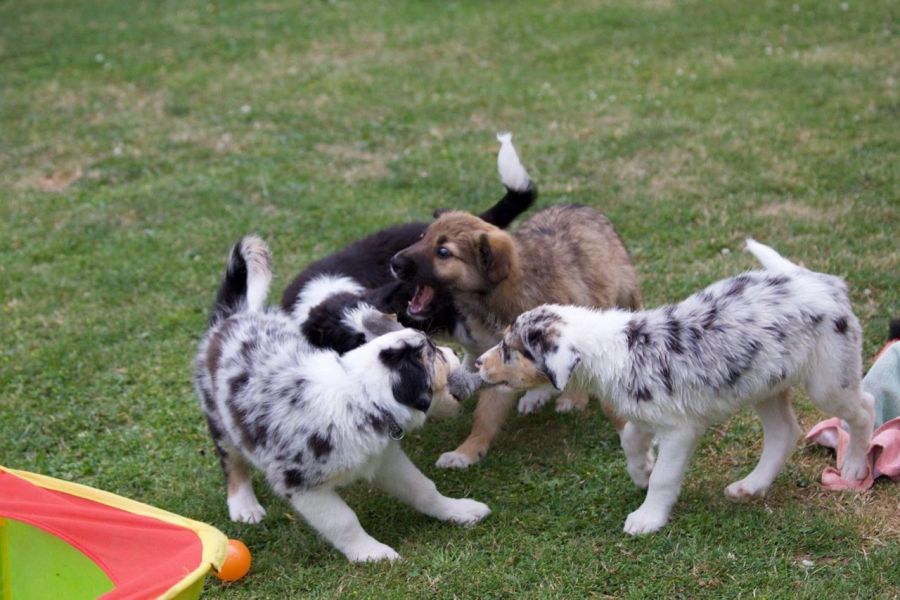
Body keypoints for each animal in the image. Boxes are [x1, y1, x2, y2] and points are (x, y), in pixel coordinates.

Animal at [198, 236, 492, 564]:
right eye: (436, 354)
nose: (453, 352)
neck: (362, 399)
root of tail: (233, 316)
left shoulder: (384, 457)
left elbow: (423, 488)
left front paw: (459, 510)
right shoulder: (302, 486)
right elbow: (343, 521)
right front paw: (373, 554)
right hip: (219, 417)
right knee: (232, 462)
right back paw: (244, 506)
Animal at [392, 203, 640, 468]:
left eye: (443, 252)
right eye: (422, 237)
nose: (393, 262)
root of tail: (579, 205)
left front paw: (575, 397)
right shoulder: (499, 358)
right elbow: (486, 414)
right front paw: (467, 451)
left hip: (625, 296)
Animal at [474, 239, 876, 536]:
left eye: (510, 350)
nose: (478, 364)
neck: (616, 350)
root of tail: (822, 282)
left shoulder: (681, 429)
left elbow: (665, 478)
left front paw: (647, 517)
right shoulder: (646, 414)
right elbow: (629, 439)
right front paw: (641, 470)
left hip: (828, 381)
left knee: (864, 407)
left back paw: (855, 466)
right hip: (763, 384)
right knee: (784, 431)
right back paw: (750, 486)